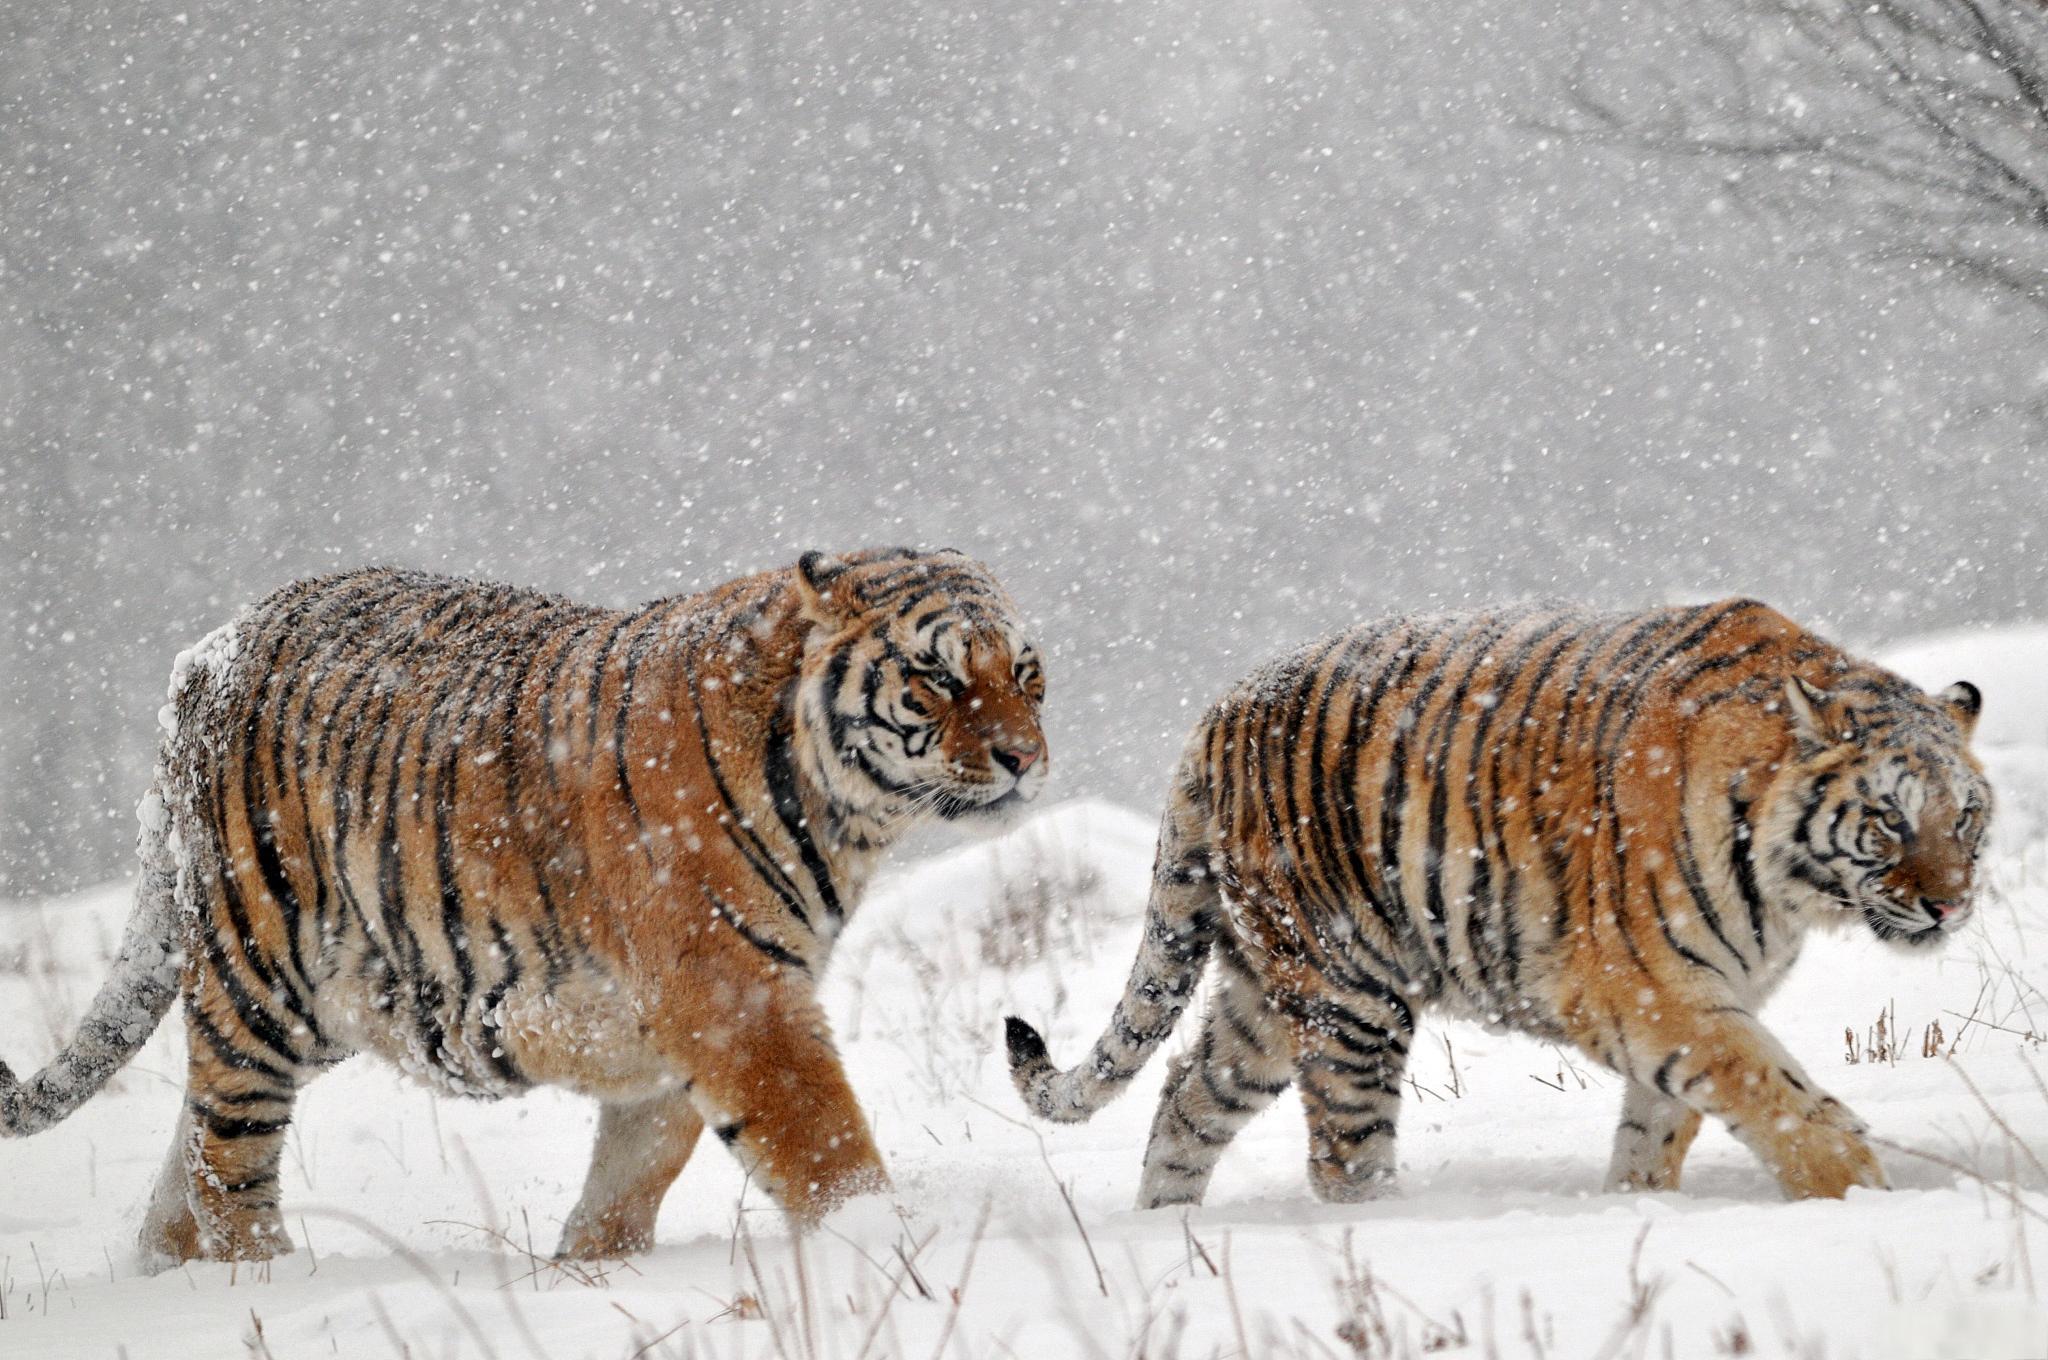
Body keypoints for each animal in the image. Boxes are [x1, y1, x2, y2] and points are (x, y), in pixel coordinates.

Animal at [0, 548, 1048, 1261]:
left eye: (1026, 673)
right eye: (938, 677)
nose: (1025, 758)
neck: (847, 815)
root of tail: (210, 649)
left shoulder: (673, 1027)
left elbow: (635, 1169)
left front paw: (591, 1268)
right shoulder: (734, 997)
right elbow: (823, 1143)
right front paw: (885, 1248)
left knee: (186, 1156)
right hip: (259, 977)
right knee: (228, 1162)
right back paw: (268, 1283)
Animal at [1007, 602, 1982, 1204]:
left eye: (1965, 817)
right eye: (1890, 820)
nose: (1949, 905)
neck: (1792, 888)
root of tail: (1217, 715)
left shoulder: (1701, 995)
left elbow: (1660, 1125)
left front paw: (1638, 1206)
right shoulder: (1649, 989)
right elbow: (1772, 1092)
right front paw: (1857, 1191)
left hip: (1263, 1000)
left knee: (1187, 1099)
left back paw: (1169, 1232)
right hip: (1348, 996)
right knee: (1342, 1159)